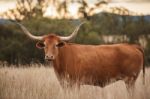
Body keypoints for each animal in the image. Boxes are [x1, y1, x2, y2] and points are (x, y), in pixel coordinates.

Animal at [14, 21, 145, 89]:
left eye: (56, 45)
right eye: (45, 44)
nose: (49, 57)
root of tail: (132, 46)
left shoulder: (75, 84)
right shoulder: (64, 84)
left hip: (130, 81)